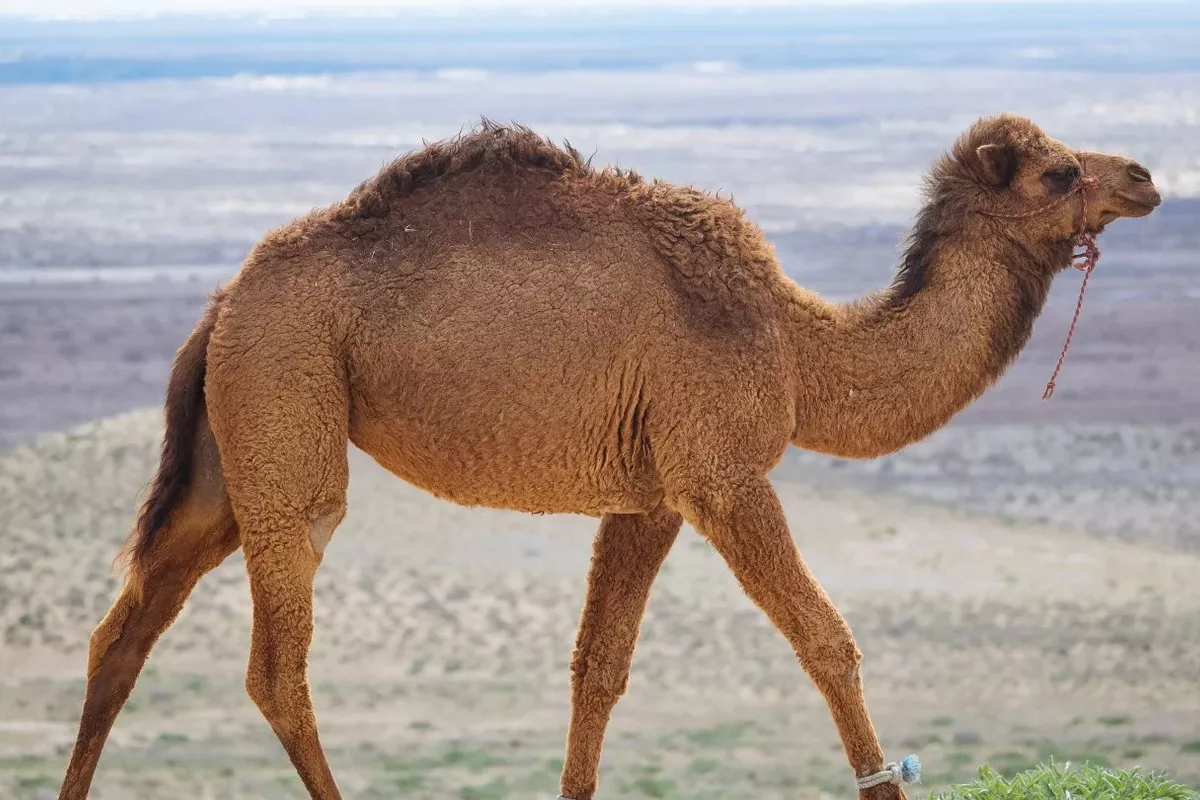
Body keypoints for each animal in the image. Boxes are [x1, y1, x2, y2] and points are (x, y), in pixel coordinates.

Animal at [57, 113, 1161, 800]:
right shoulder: (723, 471)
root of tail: (222, 303)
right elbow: (827, 640)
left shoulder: (652, 495)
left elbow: (599, 669)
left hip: (227, 443)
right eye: (1061, 172)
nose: (1148, 176)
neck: (796, 344)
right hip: (287, 396)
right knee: (276, 661)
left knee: (125, 629)